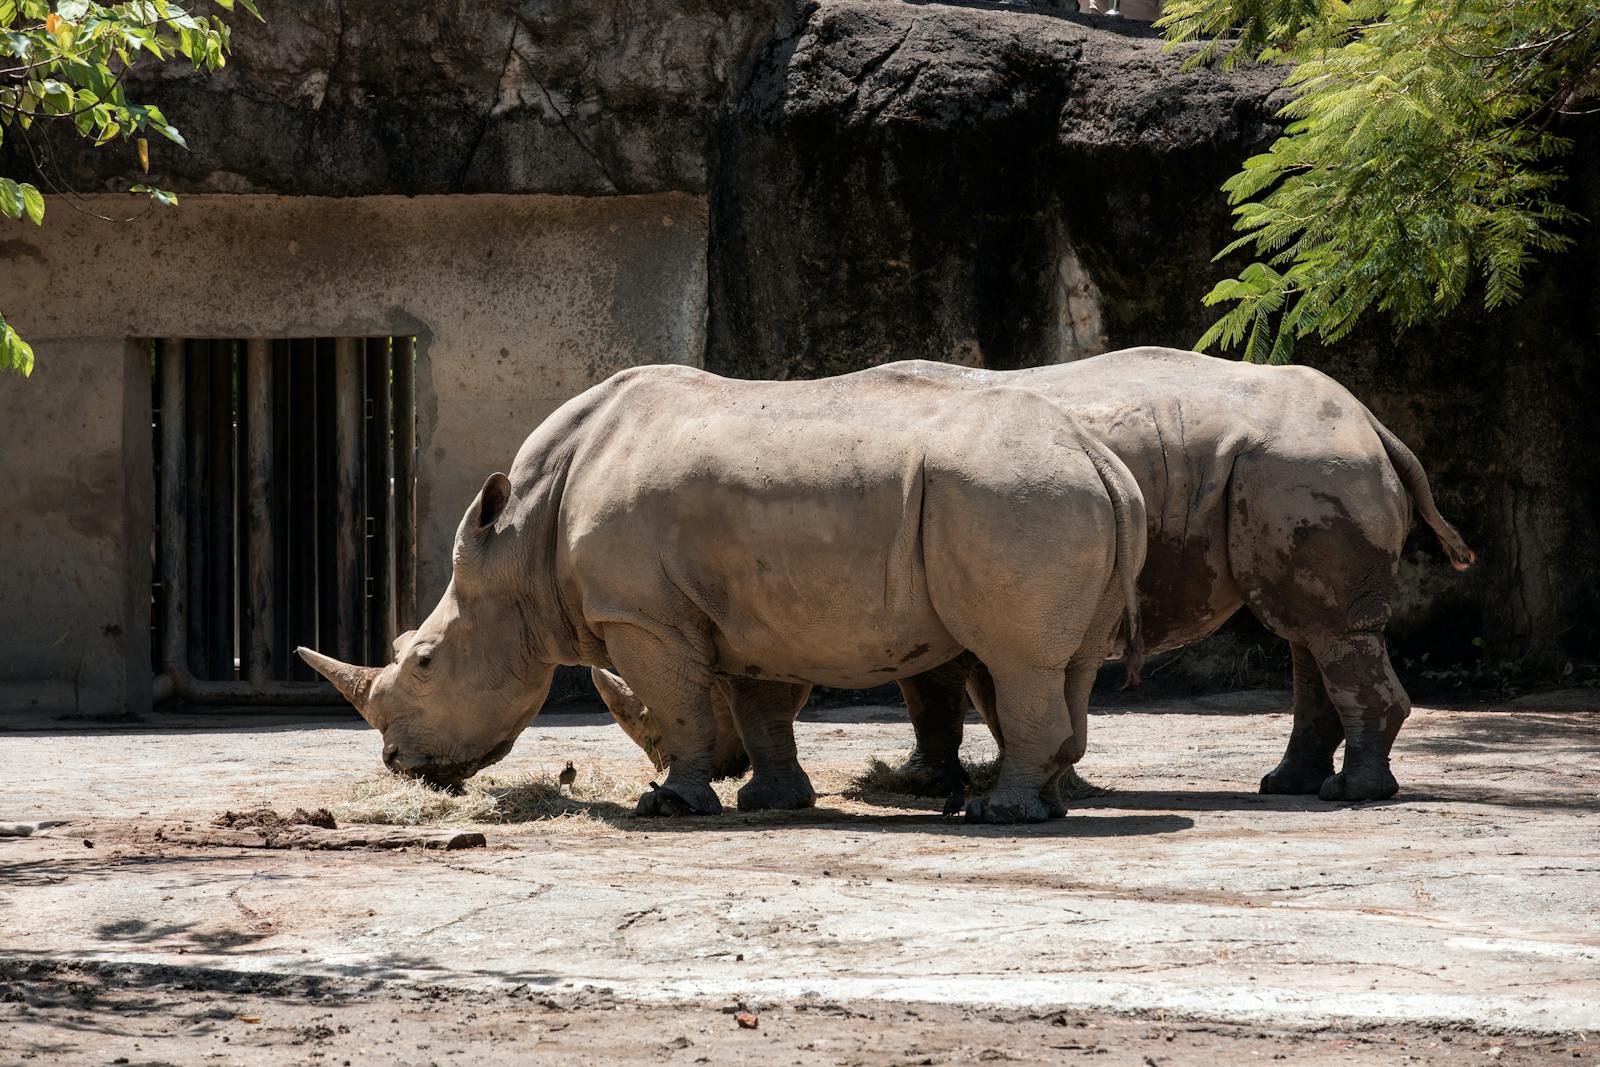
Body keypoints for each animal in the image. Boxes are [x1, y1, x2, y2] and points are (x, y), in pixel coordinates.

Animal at [298, 362, 1145, 823]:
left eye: (426, 661)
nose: (398, 763)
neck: (519, 545)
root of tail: (1096, 452)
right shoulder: (754, 615)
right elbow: (761, 709)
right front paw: (774, 801)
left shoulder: (641, 614)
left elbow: (680, 704)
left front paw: (670, 803)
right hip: (1061, 495)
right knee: (1067, 664)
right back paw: (1043, 804)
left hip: (1014, 494)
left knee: (1016, 660)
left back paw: (998, 814)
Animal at [597, 348, 1475, 804]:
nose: (721, 760)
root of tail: (1371, 421)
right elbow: (952, 695)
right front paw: (942, 780)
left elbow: (947, 692)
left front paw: (949, 784)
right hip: (1295, 469)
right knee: (1306, 631)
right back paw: (1285, 784)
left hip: (1303, 465)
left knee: (1324, 630)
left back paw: (1352, 794)